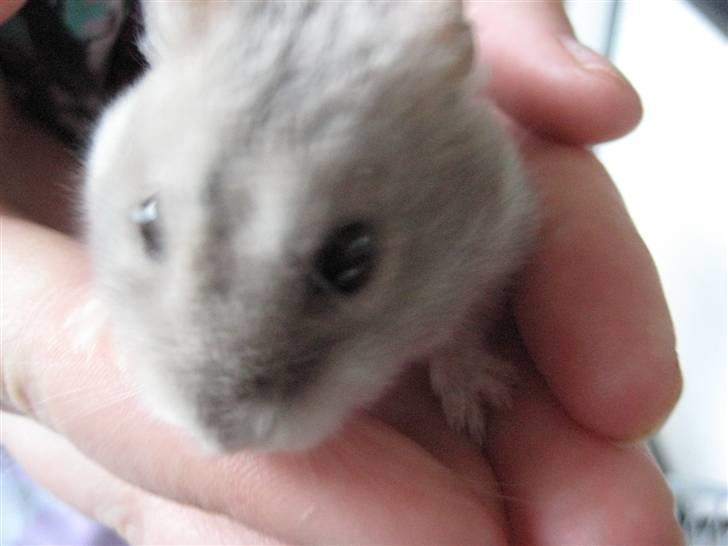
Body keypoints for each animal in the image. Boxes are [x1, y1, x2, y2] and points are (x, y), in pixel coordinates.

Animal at [83, 0, 536, 452]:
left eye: (354, 260)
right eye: (146, 221)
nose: (221, 442)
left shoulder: (497, 247)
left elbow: (462, 330)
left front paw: (479, 405)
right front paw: (90, 333)